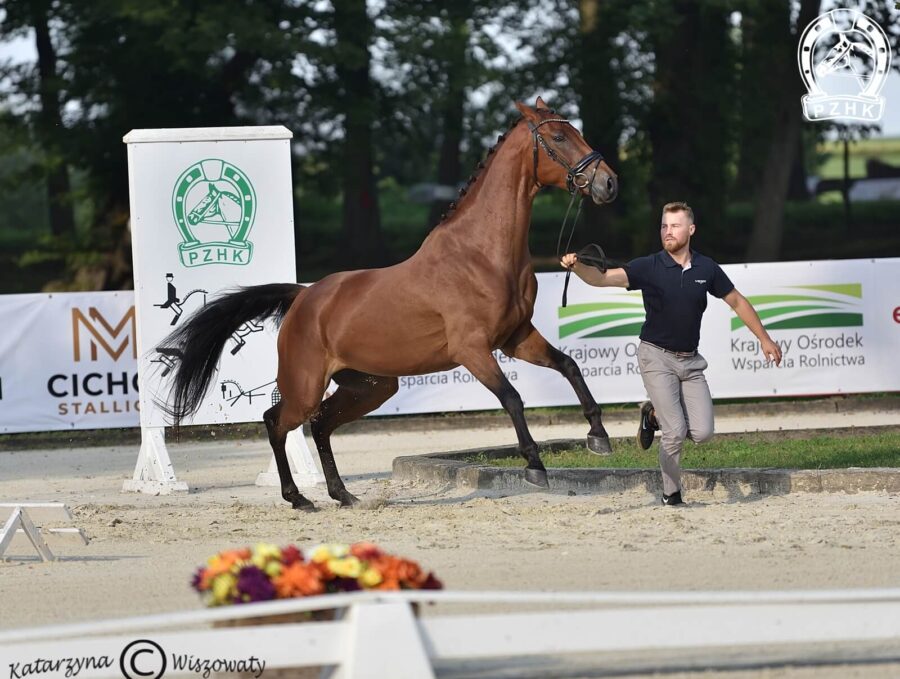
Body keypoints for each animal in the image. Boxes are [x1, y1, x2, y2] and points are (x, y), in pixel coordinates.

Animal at [162, 97, 620, 510]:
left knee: (320, 424)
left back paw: (342, 495)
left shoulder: (517, 337)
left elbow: (569, 366)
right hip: (306, 385)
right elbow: (512, 398)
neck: (482, 253)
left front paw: (598, 437)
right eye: (559, 137)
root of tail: (304, 295)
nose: (609, 183)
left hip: (370, 387)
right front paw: (535, 467)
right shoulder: (472, 349)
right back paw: (297, 497)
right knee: (276, 422)